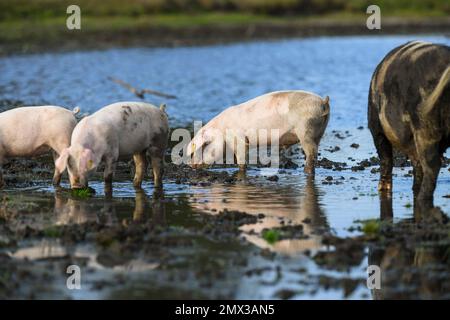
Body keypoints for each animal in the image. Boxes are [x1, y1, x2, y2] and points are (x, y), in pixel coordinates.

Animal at [186, 90, 330, 174]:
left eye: (205, 145)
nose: (191, 165)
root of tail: (323, 102)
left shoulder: (240, 140)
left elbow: (241, 161)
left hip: (305, 130)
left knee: (311, 154)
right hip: (319, 132)